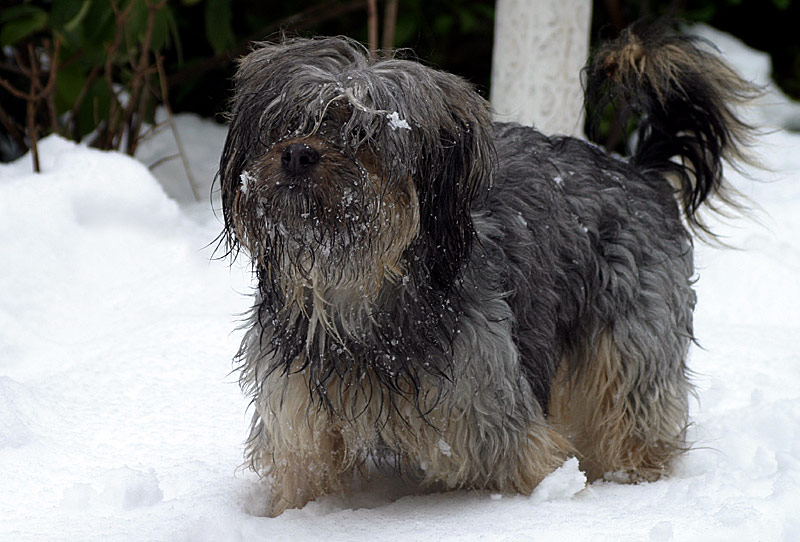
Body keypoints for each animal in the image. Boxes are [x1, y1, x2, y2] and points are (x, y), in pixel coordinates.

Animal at [216, 24, 752, 520]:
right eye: (289, 122)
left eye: (364, 135)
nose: (297, 153)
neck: (358, 296)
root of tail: (638, 171)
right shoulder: (300, 424)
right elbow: (304, 480)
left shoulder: (494, 418)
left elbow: (534, 466)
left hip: (631, 346)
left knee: (634, 421)